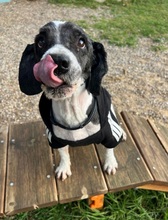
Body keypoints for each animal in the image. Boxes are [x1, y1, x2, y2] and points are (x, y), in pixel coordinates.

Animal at [18, 21, 126, 181]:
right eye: (40, 41)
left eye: (81, 42)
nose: (58, 61)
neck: (70, 107)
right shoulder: (55, 140)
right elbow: (63, 154)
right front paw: (64, 167)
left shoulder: (109, 136)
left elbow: (109, 149)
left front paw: (110, 163)